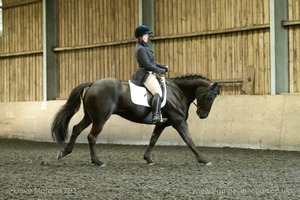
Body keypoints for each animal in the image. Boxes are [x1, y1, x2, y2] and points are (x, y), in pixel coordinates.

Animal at [51, 73, 220, 166]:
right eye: (210, 97)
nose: (203, 115)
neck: (177, 92)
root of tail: (93, 83)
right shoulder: (179, 123)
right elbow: (189, 141)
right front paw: (204, 160)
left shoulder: (162, 124)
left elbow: (153, 139)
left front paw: (148, 159)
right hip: (100, 118)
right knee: (91, 137)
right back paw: (98, 162)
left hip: (90, 117)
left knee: (76, 129)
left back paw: (64, 152)